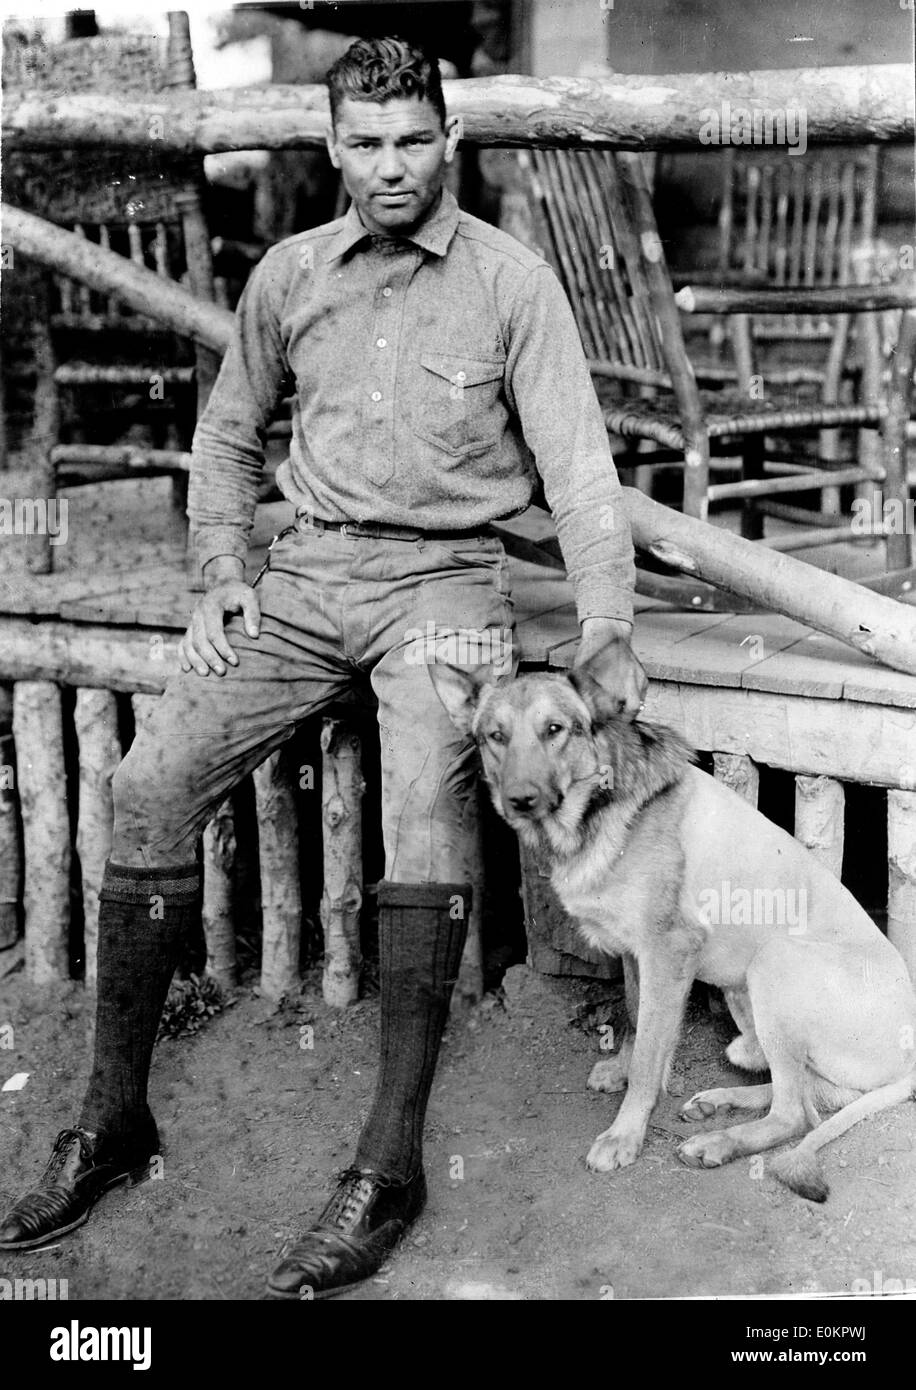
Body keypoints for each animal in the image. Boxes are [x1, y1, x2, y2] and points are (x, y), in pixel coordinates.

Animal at [430, 636, 916, 1195]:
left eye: (555, 730)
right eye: (495, 736)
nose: (520, 801)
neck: (596, 812)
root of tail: (911, 1057)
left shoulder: (668, 953)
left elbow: (648, 1055)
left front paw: (624, 1134)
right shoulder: (636, 956)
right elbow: (637, 1024)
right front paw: (623, 1072)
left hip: (774, 961)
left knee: (796, 1114)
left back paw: (717, 1142)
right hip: (745, 1001)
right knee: (807, 1095)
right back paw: (718, 1102)